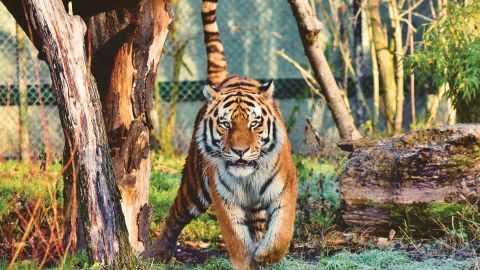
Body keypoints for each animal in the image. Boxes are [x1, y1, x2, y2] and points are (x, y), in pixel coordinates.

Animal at [147, 0, 296, 268]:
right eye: (225, 124)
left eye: (254, 123)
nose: (240, 151)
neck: (248, 178)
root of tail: (228, 77)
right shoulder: (225, 200)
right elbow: (237, 241)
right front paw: (248, 259)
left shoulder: (285, 191)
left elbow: (281, 234)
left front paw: (264, 255)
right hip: (194, 186)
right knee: (175, 215)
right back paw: (159, 253)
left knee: (258, 226)